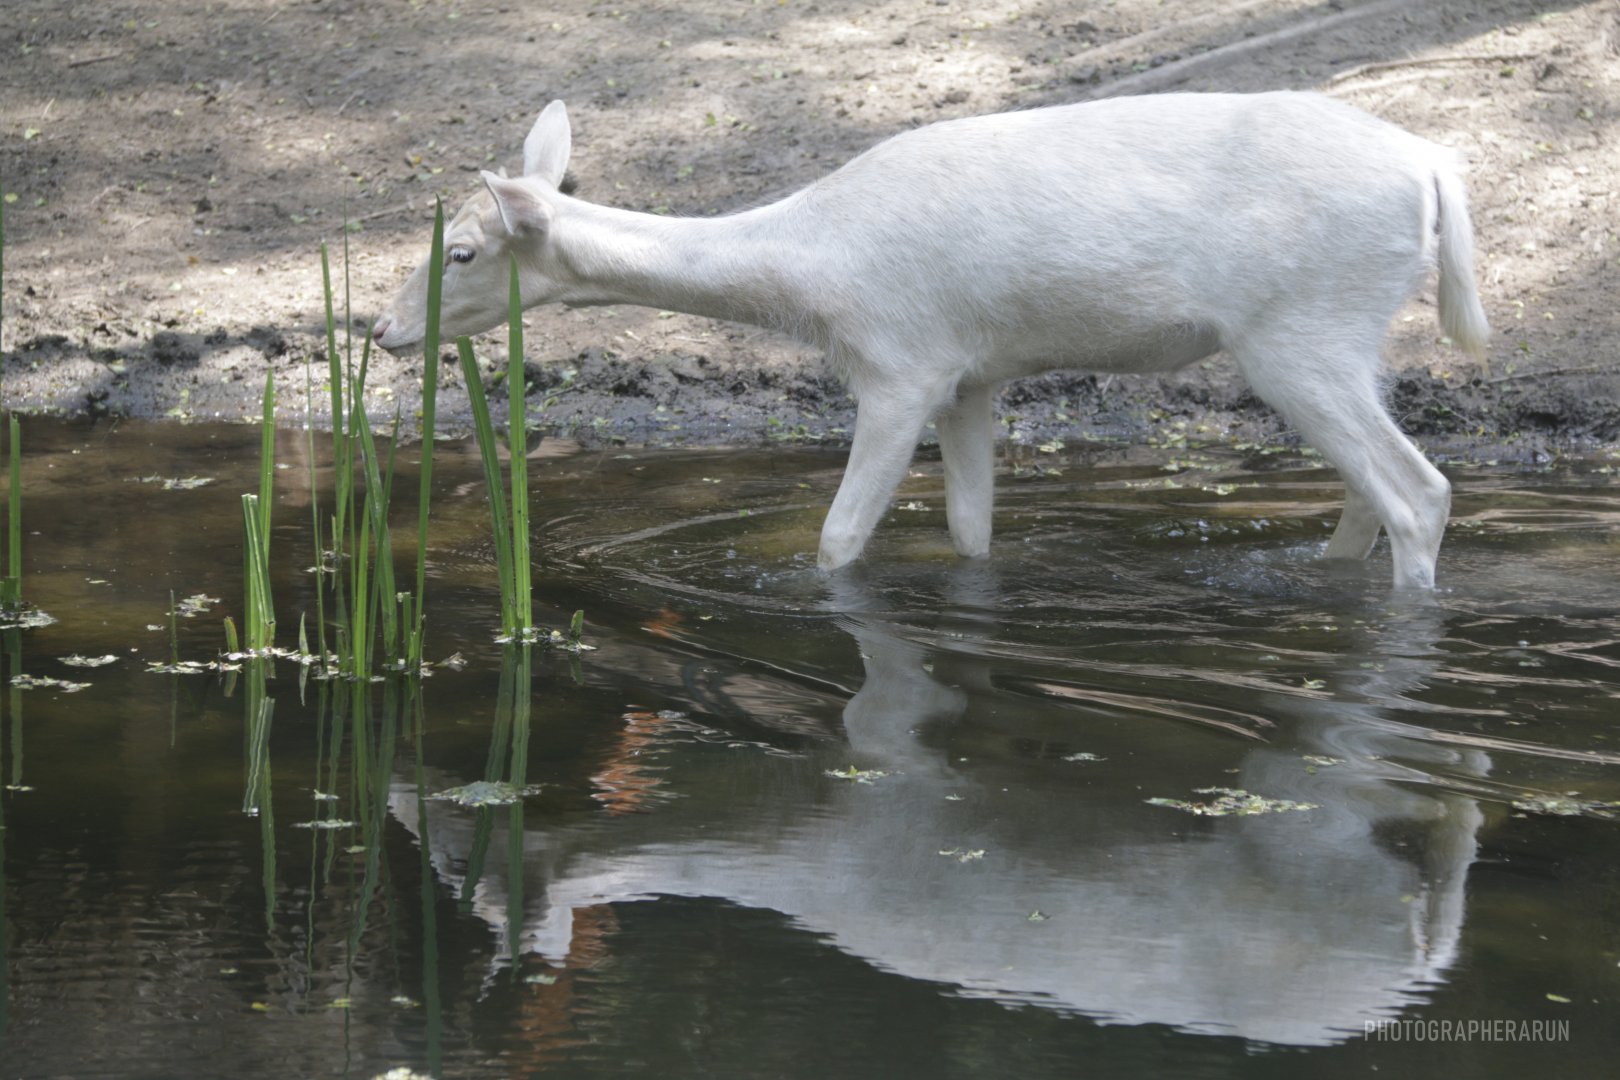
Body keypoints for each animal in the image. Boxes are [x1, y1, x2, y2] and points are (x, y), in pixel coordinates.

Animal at [373, 92, 1488, 589]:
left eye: (461, 251)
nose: (379, 331)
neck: (816, 269)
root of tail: (1434, 165)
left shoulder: (899, 361)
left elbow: (837, 537)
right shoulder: (969, 376)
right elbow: (969, 528)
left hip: (1298, 330)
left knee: (1419, 491)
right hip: (1345, 332)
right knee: (1371, 488)